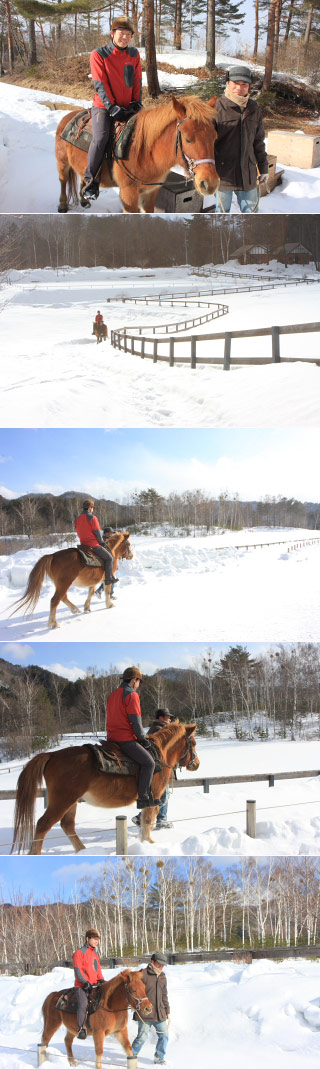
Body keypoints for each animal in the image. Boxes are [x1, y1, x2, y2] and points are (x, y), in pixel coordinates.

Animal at [11, 722, 201, 855]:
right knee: (43, 824)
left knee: (68, 825)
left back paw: (83, 851)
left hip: (71, 801)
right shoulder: (152, 798)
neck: (159, 755)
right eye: (193, 742)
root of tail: (52, 755)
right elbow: (149, 821)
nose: (197, 764)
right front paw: (148, 843)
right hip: (62, 800)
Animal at [56, 95, 219, 213]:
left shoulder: (151, 193)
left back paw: (85, 200)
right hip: (62, 163)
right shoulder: (129, 194)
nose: (210, 184)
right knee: (63, 181)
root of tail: (68, 116)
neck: (145, 154)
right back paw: (63, 205)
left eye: (214, 138)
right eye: (187, 139)